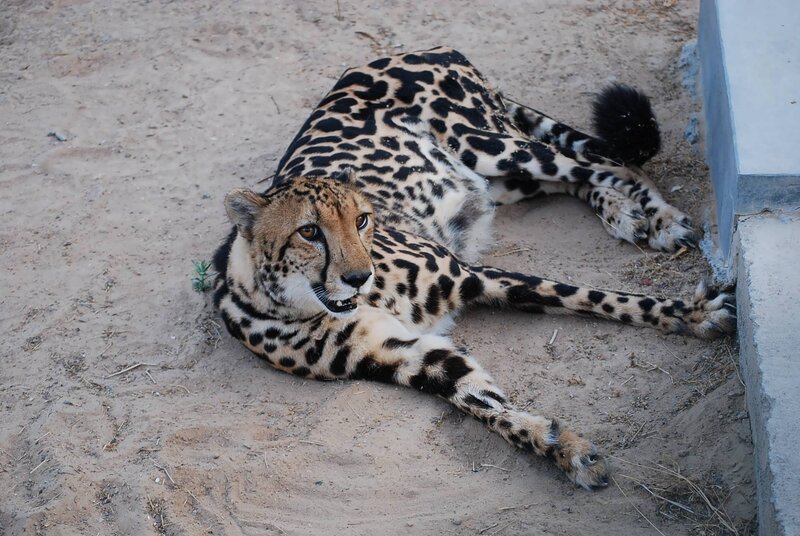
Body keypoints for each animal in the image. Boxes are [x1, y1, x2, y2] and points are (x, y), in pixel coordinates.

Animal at [211, 47, 735, 490]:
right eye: (309, 232)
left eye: (361, 220)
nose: (359, 277)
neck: (297, 301)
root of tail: (407, 50)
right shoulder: (410, 356)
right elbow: (483, 403)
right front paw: (559, 447)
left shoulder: (471, 275)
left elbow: (594, 297)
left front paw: (693, 314)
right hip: (500, 180)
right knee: (582, 178)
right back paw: (623, 212)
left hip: (491, 146)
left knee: (608, 163)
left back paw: (660, 218)